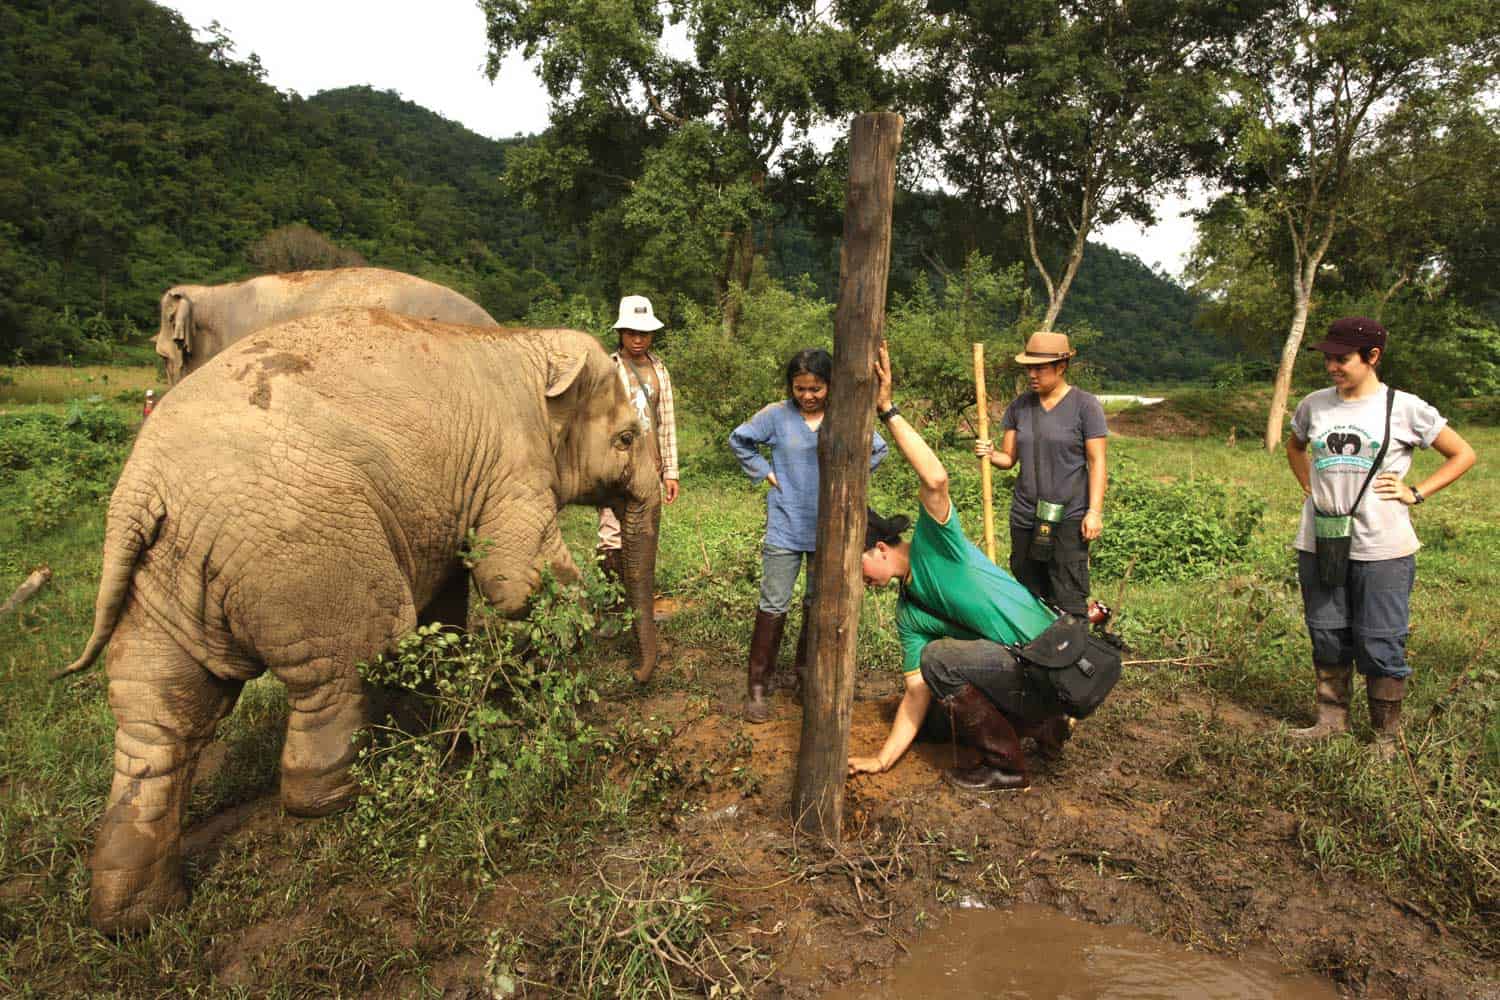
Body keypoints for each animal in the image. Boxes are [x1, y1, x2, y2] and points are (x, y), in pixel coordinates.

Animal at [61, 308, 662, 934]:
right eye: (626, 439)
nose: (638, 678)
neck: (529, 345)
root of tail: (137, 494)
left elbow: (451, 593)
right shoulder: (511, 457)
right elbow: (516, 578)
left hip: (161, 578)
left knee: (160, 719)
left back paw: (136, 917)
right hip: (308, 547)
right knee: (353, 656)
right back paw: (339, 795)